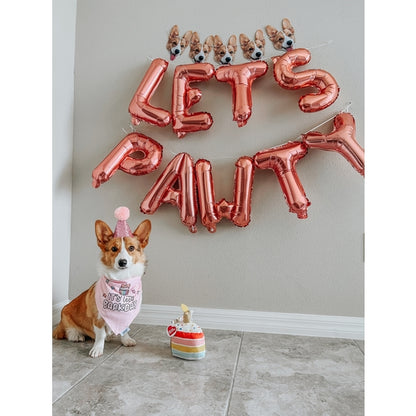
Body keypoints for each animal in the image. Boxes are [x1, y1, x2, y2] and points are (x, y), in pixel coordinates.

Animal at [52, 208, 151, 358]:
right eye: (114, 249)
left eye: (131, 248)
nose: (122, 262)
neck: (121, 280)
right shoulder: (97, 317)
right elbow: (100, 335)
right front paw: (97, 349)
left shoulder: (125, 316)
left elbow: (125, 329)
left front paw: (126, 340)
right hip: (65, 314)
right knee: (67, 332)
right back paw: (77, 336)